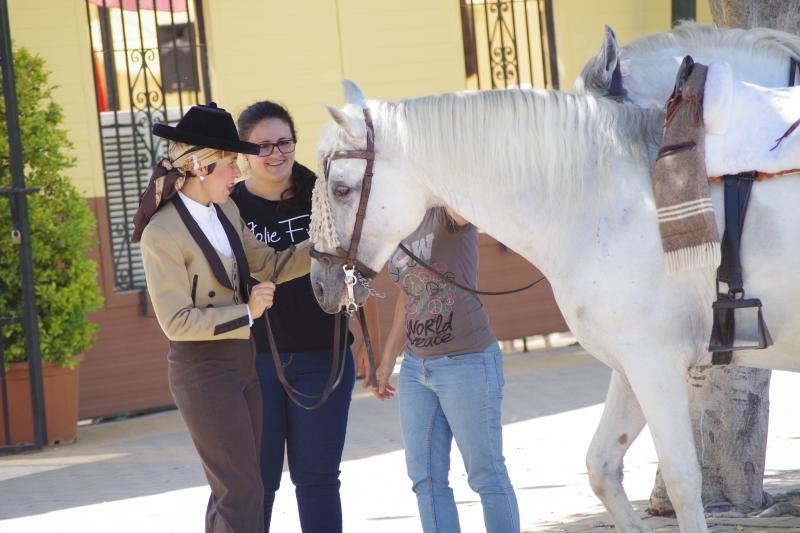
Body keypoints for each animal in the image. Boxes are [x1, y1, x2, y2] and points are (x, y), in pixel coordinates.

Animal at [310, 33, 800, 532]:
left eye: (342, 189)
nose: (322, 285)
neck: (610, 192)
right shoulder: (632, 365)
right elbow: (601, 468)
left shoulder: (655, 363)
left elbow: (683, 480)